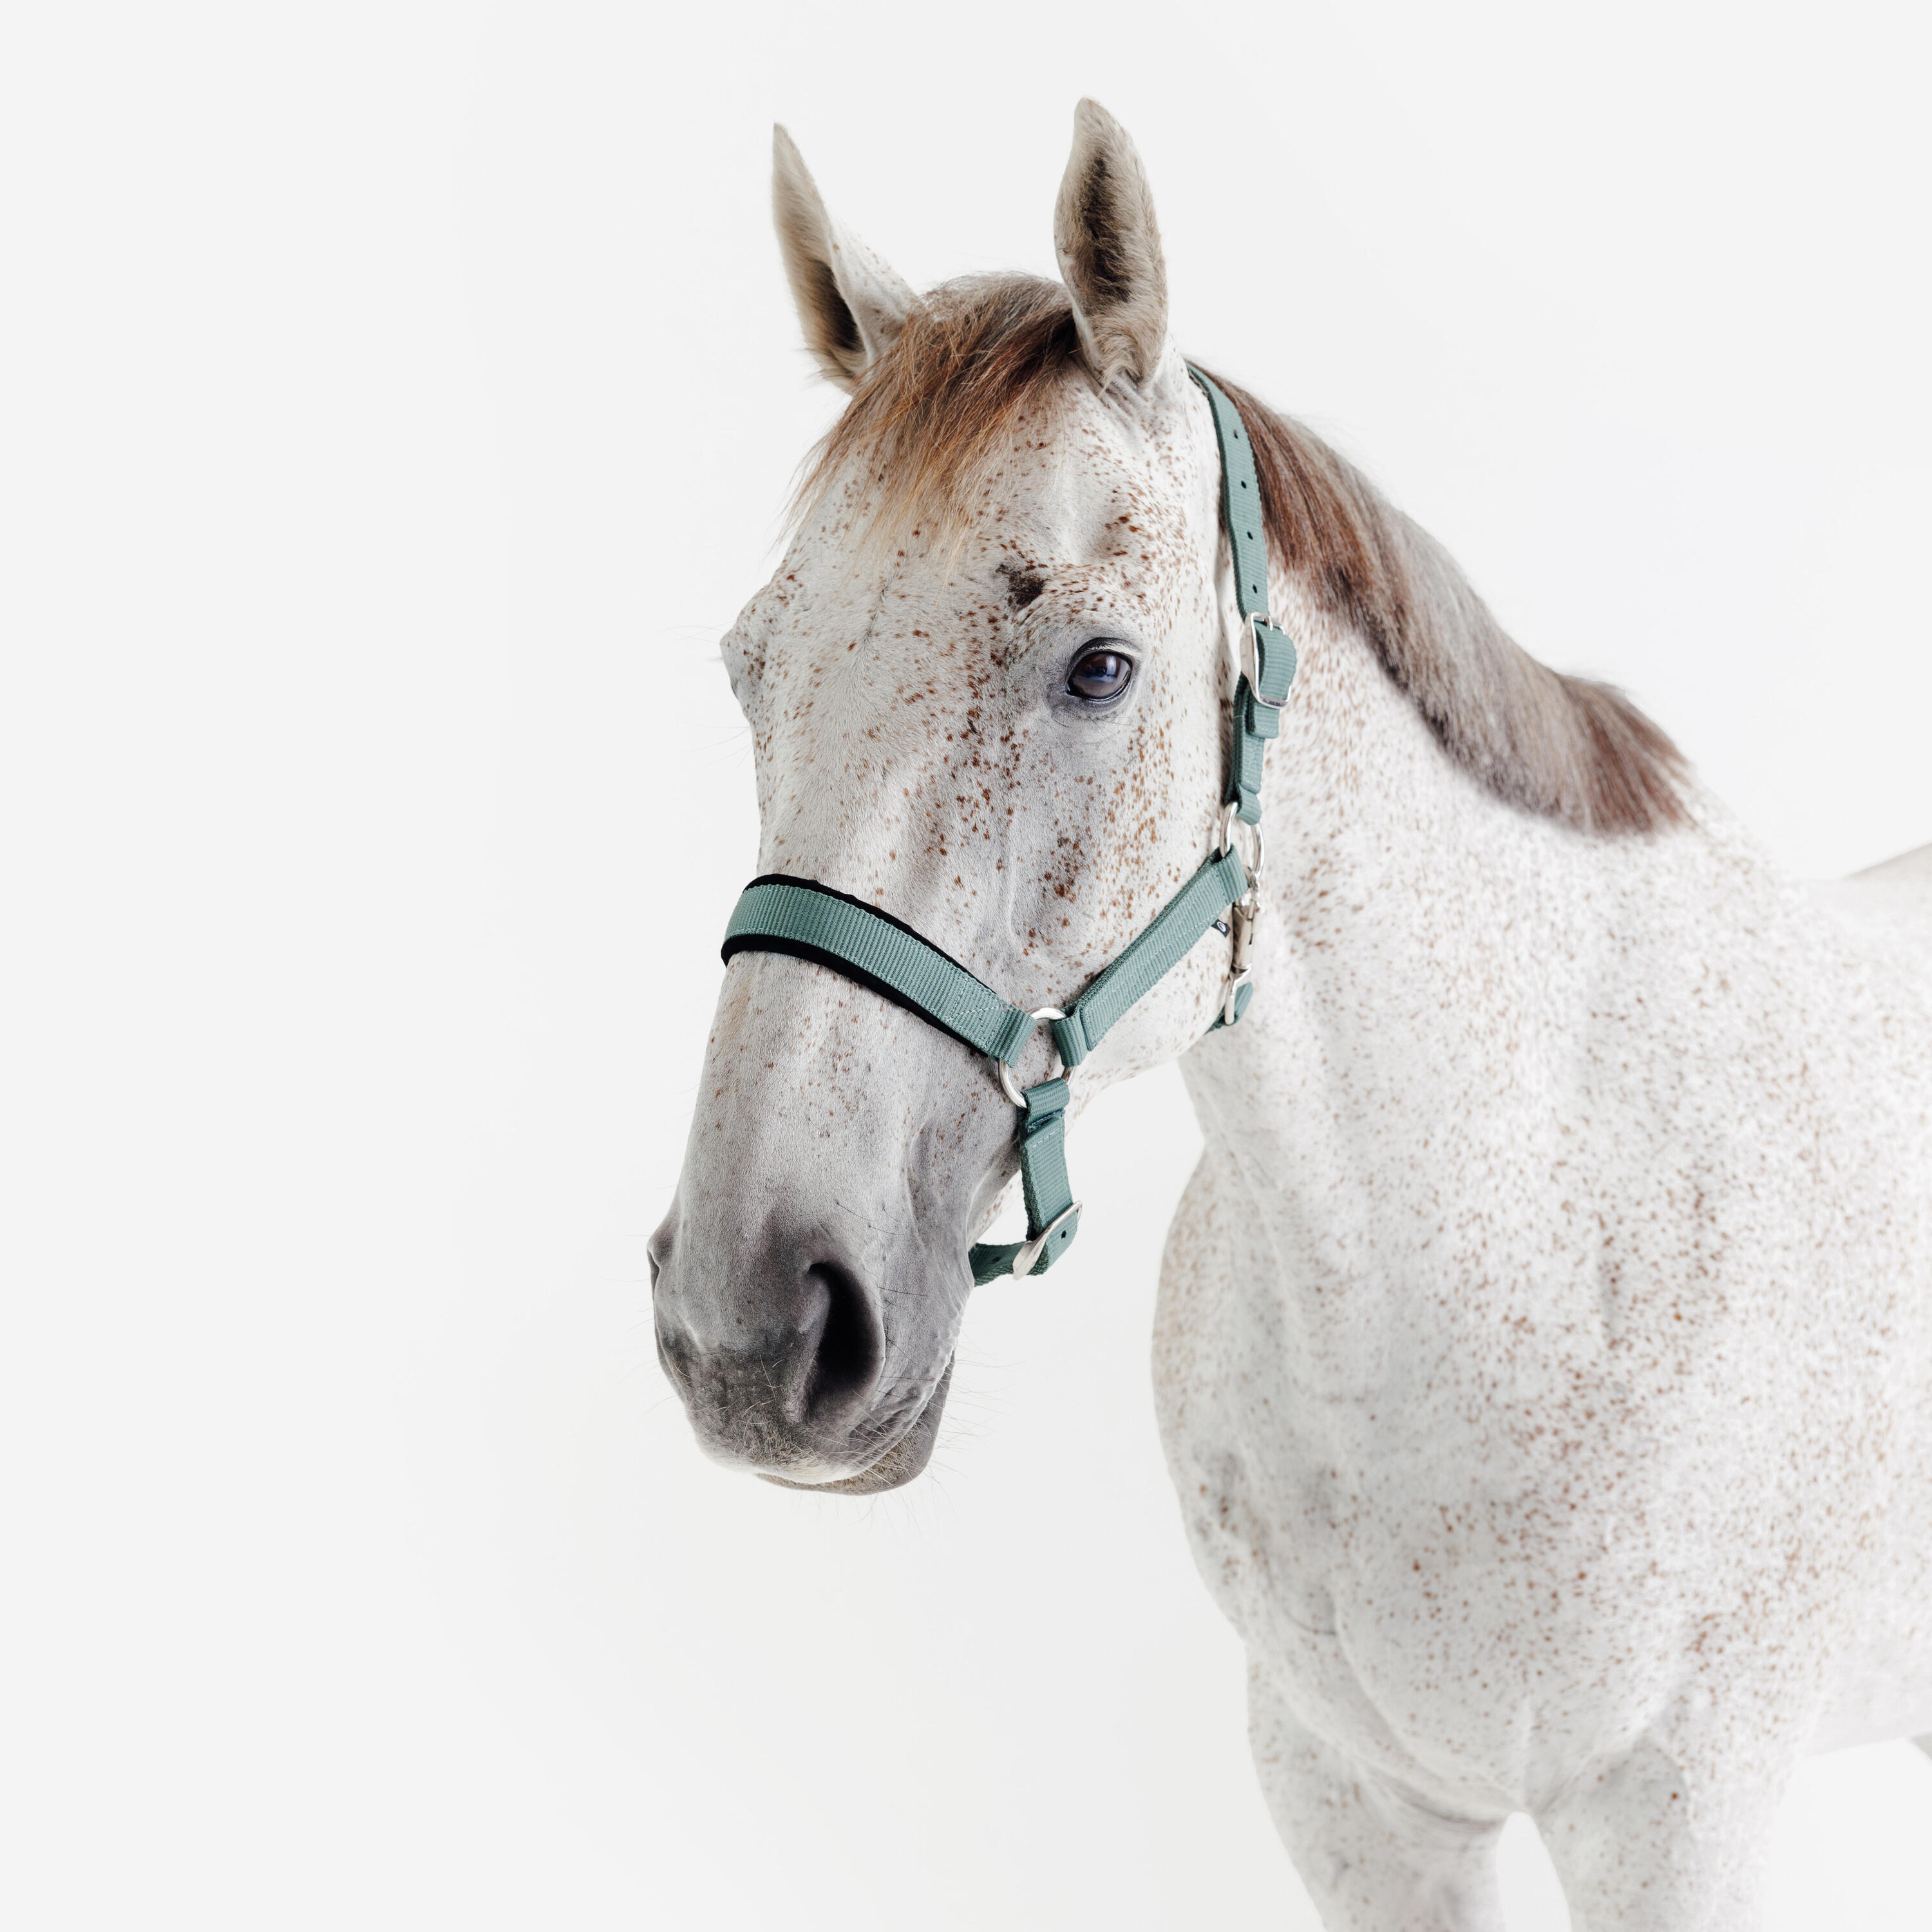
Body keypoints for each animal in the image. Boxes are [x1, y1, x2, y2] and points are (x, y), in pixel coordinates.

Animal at [648, 99, 1932, 1930]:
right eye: (753, 671)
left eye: (1100, 668)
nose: (750, 1326)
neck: (1520, 1242)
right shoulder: (1347, 1796)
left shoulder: (1682, 1817)